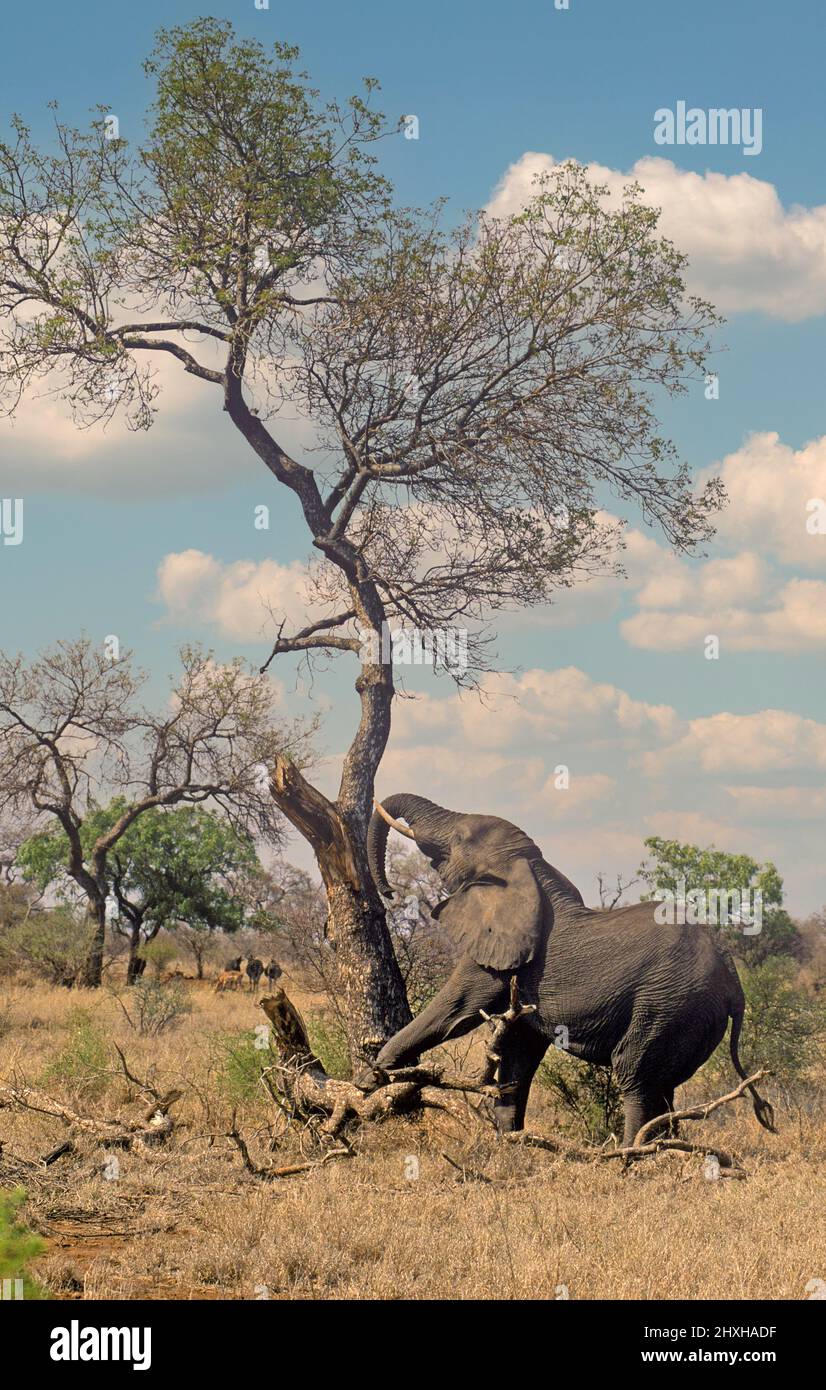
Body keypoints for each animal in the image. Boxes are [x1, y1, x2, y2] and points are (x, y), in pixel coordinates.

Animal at [366, 793, 775, 1147]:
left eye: (460, 838)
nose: (389, 893)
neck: (532, 872)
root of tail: (733, 978)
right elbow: (518, 1056)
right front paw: (509, 1147)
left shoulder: (497, 957)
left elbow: (454, 1011)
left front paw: (369, 1080)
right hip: (692, 1014)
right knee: (664, 1085)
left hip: (668, 1003)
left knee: (634, 1075)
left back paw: (627, 1158)